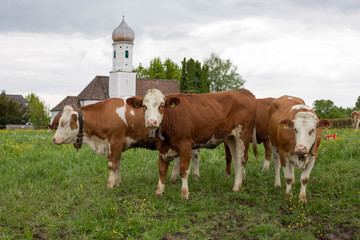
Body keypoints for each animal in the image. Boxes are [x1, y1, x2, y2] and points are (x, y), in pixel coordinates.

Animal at [51, 98, 200, 188]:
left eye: (63, 123)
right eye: (59, 122)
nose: (54, 139)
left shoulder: (115, 142)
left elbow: (112, 164)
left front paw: (110, 184)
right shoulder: (116, 145)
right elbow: (117, 164)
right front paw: (117, 183)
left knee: (194, 155)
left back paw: (195, 176)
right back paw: (176, 177)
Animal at [126, 89, 256, 200]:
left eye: (161, 106)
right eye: (144, 106)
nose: (151, 122)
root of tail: (243, 91)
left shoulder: (185, 145)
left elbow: (183, 171)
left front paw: (184, 194)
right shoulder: (162, 147)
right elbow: (162, 170)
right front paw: (159, 192)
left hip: (242, 135)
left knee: (241, 160)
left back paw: (236, 187)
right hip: (231, 137)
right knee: (236, 159)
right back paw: (238, 184)